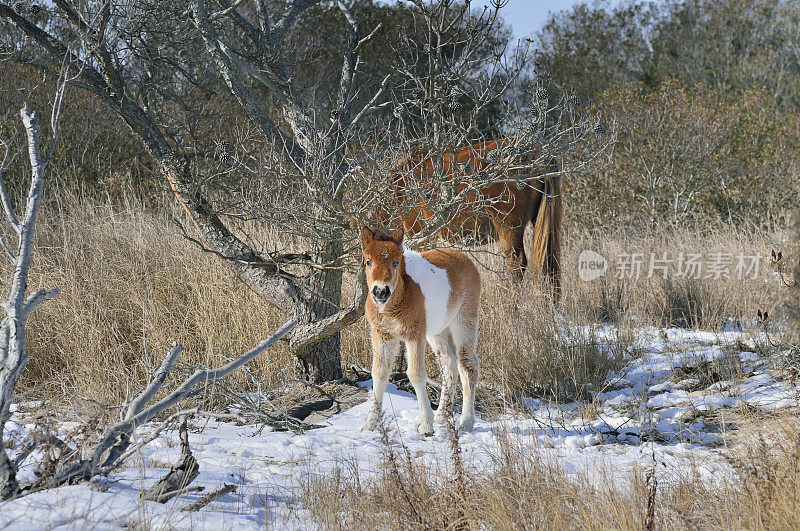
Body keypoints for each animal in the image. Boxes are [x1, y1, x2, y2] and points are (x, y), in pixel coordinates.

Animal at [362, 227, 482, 434]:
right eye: (368, 261)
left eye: (396, 262)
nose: (380, 291)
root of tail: (465, 259)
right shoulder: (382, 335)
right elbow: (379, 373)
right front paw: (370, 423)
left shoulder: (414, 334)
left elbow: (416, 374)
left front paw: (426, 425)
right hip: (437, 331)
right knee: (449, 364)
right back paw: (442, 416)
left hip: (464, 320)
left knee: (468, 365)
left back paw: (466, 421)